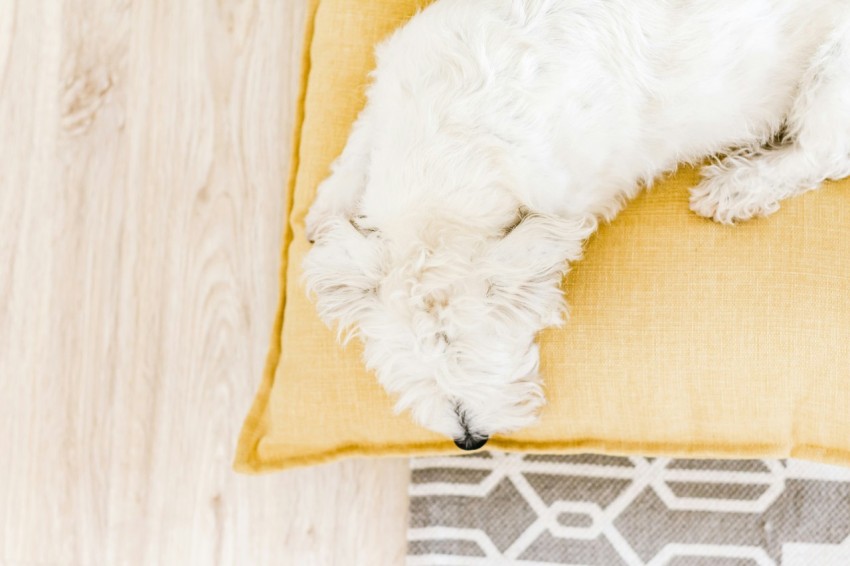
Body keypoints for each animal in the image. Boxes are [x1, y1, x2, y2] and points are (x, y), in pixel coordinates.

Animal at [304, 1, 848, 452]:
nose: (469, 440)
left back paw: (739, 187)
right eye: (415, 354)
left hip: (830, 81)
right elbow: (354, 155)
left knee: (819, 154)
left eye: (480, 347)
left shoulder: (567, 201)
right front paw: (325, 213)